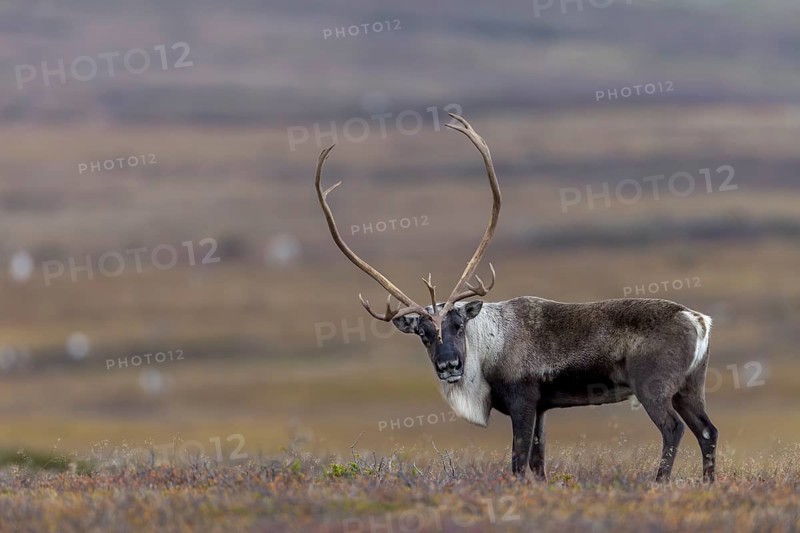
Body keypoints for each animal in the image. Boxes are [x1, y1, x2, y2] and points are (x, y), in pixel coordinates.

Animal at [314, 114, 718, 483]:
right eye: (423, 334)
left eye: (458, 324)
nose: (448, 364)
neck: (488, 348)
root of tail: (697, 320)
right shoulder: (542, 408)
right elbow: (538, 464)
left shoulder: (524, 401)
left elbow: (518, 462)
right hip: (690, 387)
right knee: (707, 430)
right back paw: (708, 483)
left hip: (654, 388)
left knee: (674, 429)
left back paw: (659, 482)